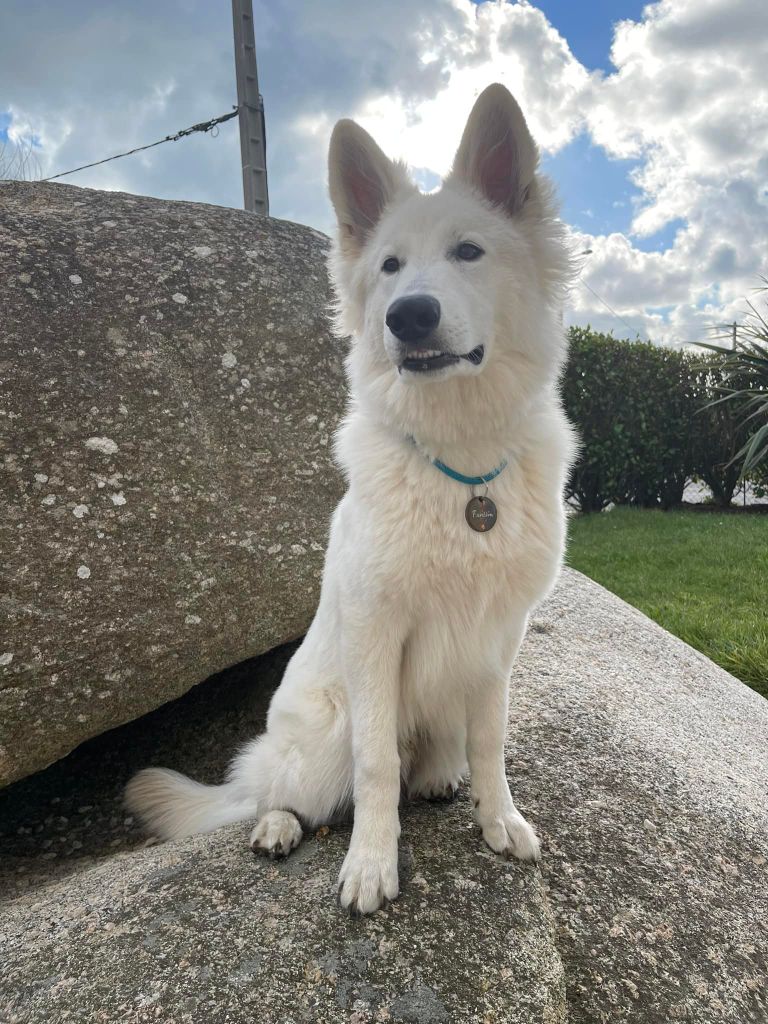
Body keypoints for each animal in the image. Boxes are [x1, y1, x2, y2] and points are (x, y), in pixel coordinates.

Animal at [124, 83, 573, 917]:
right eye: (390, 267)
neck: (462, 469)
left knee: (432, 757)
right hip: (319, 737)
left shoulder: (499, 640)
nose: (408, 315)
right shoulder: (375, 634)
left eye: (469, 251)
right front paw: (371, 864)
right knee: (283, 790)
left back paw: (439, 777)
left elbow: (491, 741)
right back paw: (275, 825)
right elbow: (375, 769)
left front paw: (500, 821)